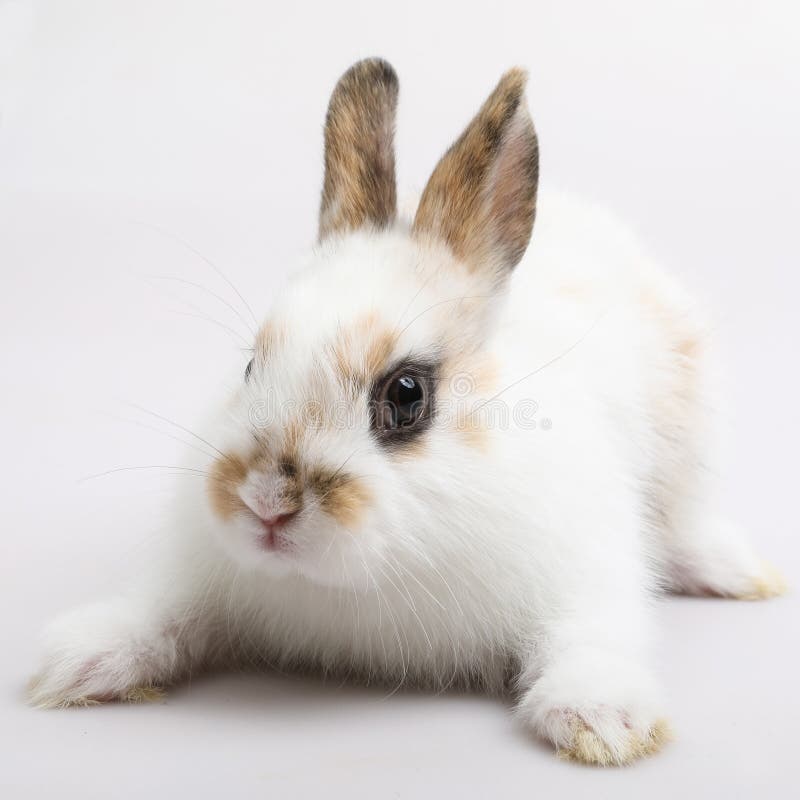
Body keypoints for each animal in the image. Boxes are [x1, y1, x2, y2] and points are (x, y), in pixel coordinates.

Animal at [29, 58, 785, 766]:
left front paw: (601, 721)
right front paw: (73, 662)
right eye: (249, 368)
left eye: (407, 395)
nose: (265, 502)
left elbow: (590, 638)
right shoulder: (199, 583)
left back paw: (737, 575)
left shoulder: (586, 571)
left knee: (685, 527)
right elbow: (164, 616)